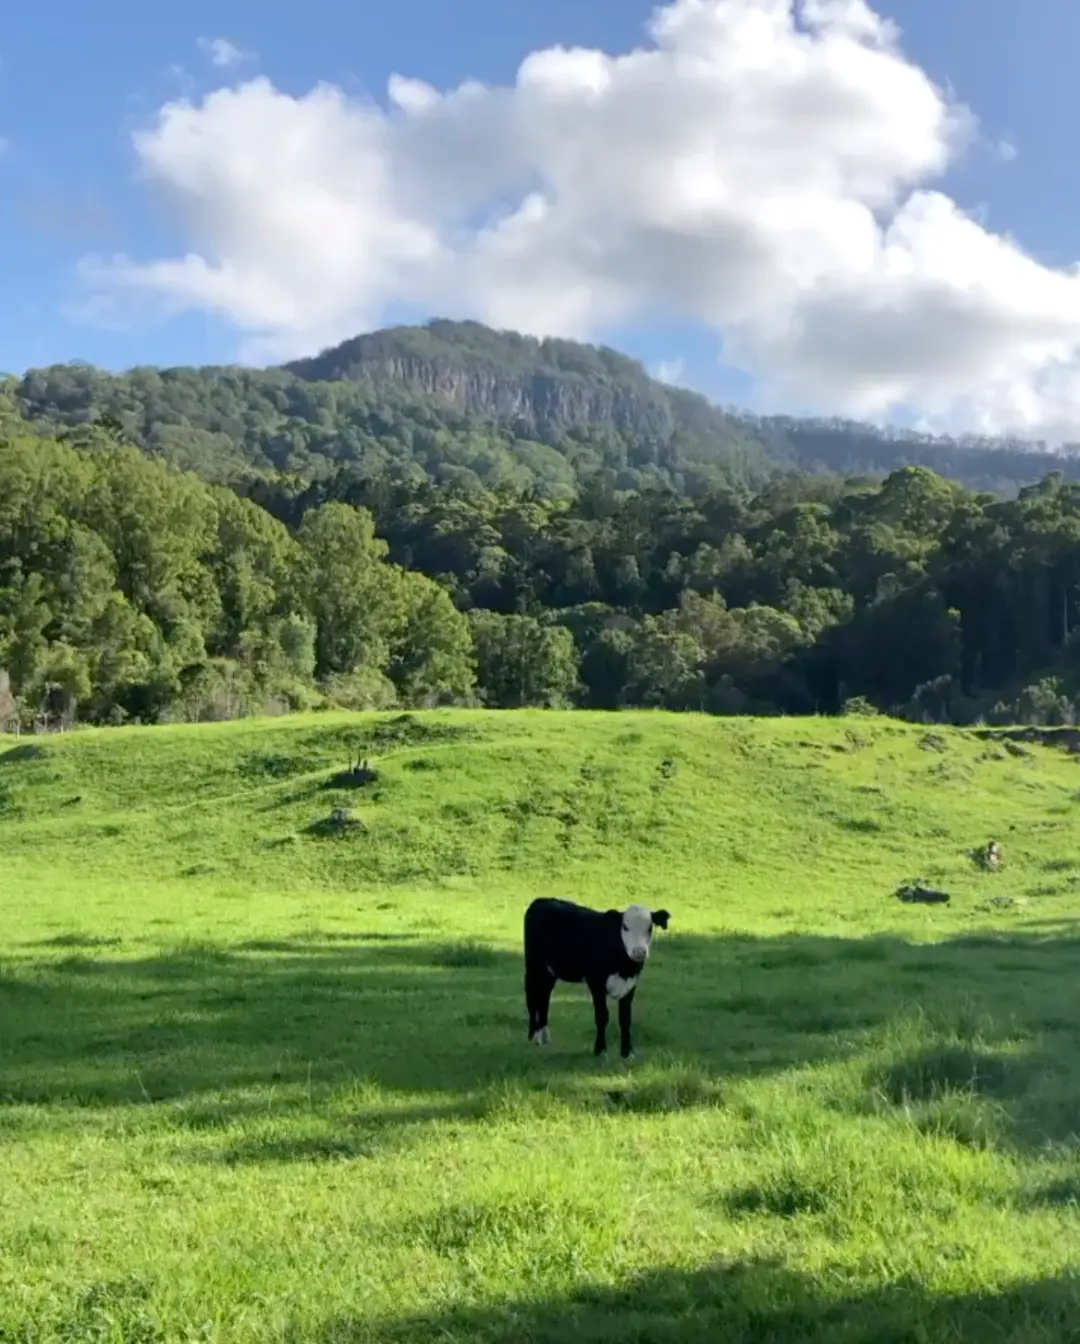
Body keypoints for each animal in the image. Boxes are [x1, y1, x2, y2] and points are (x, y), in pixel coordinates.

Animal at [521, 897, 666, 1053]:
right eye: (625, 927)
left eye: (650, 927)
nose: (639, 951)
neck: (624, 969)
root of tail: (542, 900)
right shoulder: (596, 982)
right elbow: (602, 1016)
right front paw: (600, 1049)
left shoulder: (631, 984)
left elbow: (625, 1018)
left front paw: (627, 1052)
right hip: (533, 965)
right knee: (531, 996)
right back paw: (533, 1035)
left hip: (549, 971)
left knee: (544, 997)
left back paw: (544, 1037)